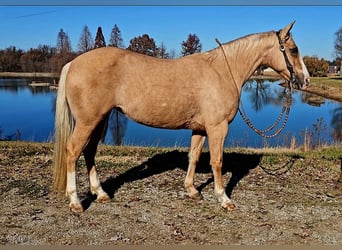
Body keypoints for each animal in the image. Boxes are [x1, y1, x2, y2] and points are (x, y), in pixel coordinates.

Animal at [52, 22, 310, 213]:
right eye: (294, 49)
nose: (305, 80)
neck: (223, 71)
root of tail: (73, 63)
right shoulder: (217, 128)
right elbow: (217, 161)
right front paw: (223, 198)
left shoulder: (200, 129)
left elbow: (193, 157)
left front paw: (192, 190)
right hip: (88, 122)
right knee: (73, 152)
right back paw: (76, 202)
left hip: (100, 120)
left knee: (89, 152)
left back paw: (101, 193)